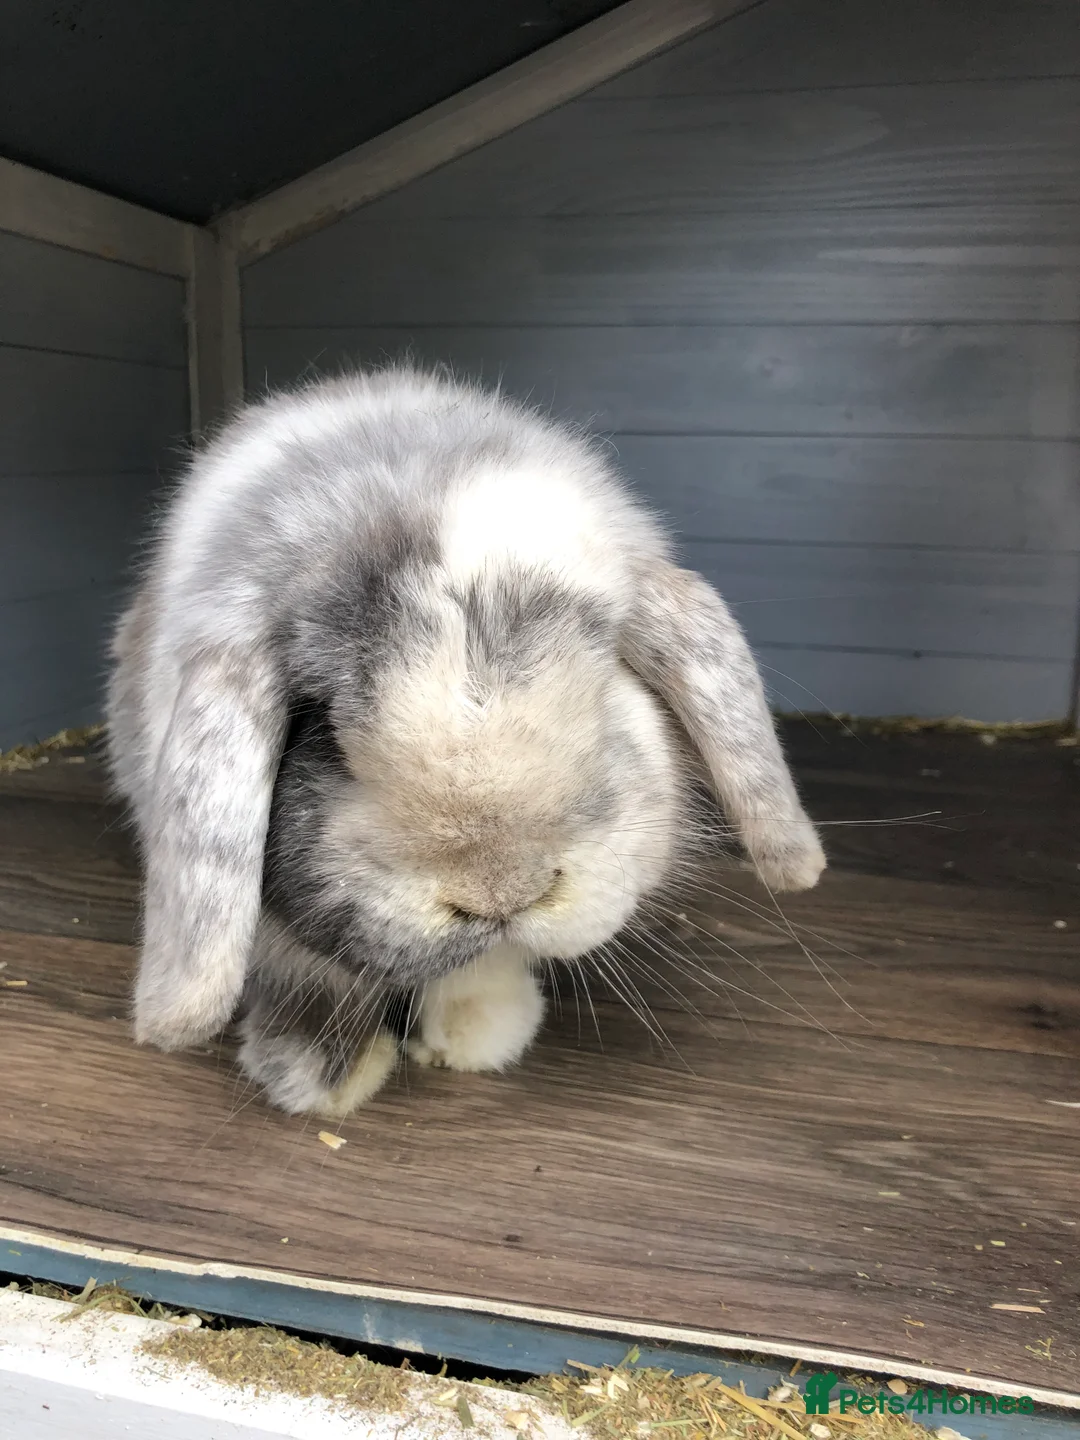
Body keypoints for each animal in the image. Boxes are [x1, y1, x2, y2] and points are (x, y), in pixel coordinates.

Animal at [106, 365, 825, 1117]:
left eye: (605, 678)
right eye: (325, 726)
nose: (502, 893)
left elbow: (486, 968)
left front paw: (477, 1037)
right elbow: (310, 972)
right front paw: (325, 1075)